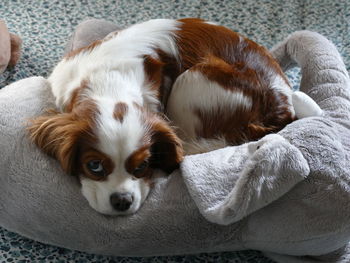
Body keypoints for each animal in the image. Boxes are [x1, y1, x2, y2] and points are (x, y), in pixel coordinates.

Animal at [27, 18, 318, 217]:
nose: (122, 201)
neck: (108, 81)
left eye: (143, 166)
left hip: (192, 79)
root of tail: (282, 102)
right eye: (94, 166)